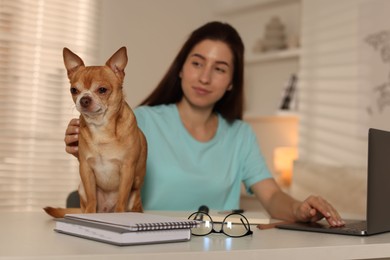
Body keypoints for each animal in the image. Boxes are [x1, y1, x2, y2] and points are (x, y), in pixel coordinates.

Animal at [44, 46, 147, 217]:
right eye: (74, 90)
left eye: (102, 90)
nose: (84, 99)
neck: (101, 128)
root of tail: (106, 210)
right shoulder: (86, 170)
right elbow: (92, 198)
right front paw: (89, 216)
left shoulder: (127, 169)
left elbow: (122, 199)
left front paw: (120, 217)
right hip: (81, 188)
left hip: (134, 192)